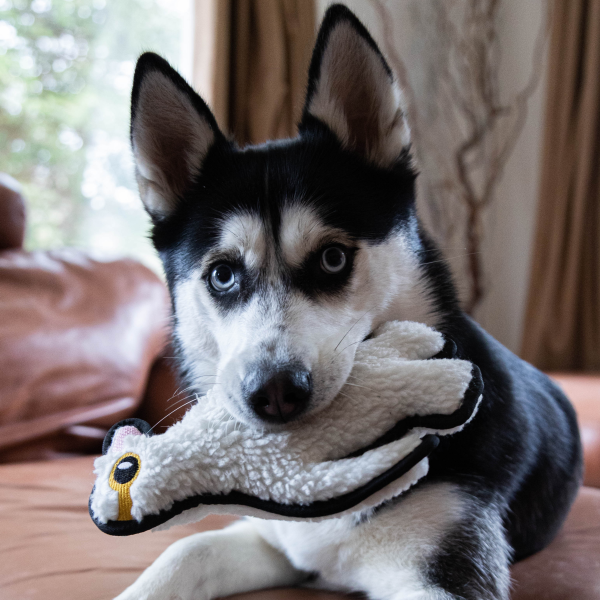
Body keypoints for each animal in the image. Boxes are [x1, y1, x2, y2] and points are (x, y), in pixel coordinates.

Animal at [117, 5, 580, 600]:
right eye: (222, 275)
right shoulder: (277, 542)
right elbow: (185, 550)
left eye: (333, 259)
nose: (274, 393)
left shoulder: (443, 566)